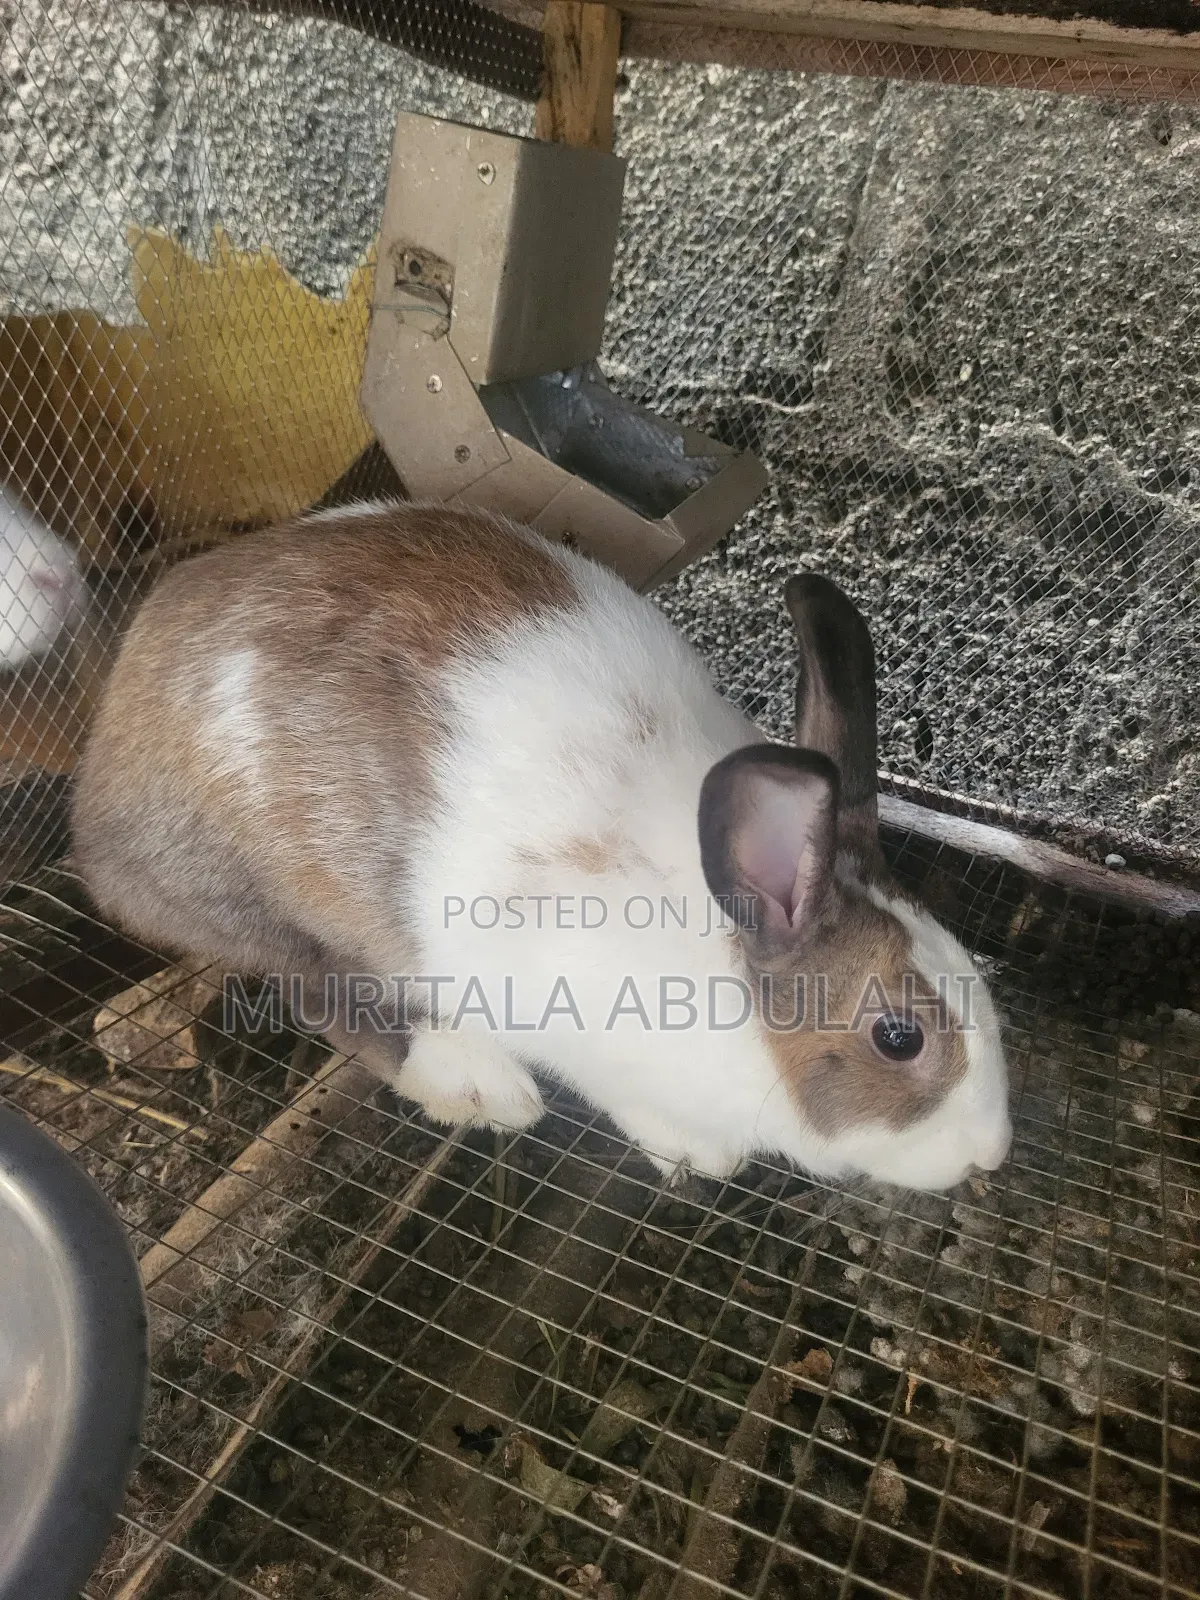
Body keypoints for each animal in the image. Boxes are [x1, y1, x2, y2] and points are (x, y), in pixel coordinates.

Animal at [70, 499, 1012, 1193]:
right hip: (272, 904)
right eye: (899, 1038)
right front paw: (692, 1153)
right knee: (321, 993)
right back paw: (478, 1086)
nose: (990, 1154)